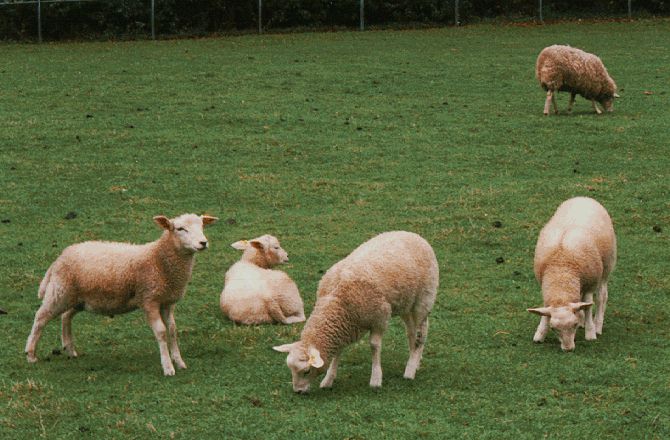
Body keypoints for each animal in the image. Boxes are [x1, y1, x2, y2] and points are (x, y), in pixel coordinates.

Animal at [25, 213, 219, 374]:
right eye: (180, 229)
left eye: (202, 226)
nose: (203, 243)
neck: (158, 259)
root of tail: (60, 257)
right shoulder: (149, 299)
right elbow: (161, 332)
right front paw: (168, 367)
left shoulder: (167, 302)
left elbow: (172, 330)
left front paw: (179, 362)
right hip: (60, 291)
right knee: (41, 317)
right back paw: (31, 354)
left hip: (79, 298)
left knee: (66, 316)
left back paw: (70, 349)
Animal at [274, 230, 440, 392]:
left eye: (307, 371)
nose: (298, 391)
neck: (337, 303)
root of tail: (413, 234)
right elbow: (338, 352)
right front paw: (328, 379)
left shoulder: (379, 319)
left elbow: (374, 346)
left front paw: (376, 379)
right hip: (406, 303)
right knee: (411, 332)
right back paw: (414, 362)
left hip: (424, 298)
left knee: (421, 332)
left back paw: (411, 368)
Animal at [532, 198, 620, 352]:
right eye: (553, 328)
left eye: (573, 324)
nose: (568, 349)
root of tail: (583, 198)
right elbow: (545, 311)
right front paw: (540, 333)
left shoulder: (590, 284)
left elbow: (589, 305)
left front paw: (590, 333)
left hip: (606, 266)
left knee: (602, 296)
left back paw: (597, 325)